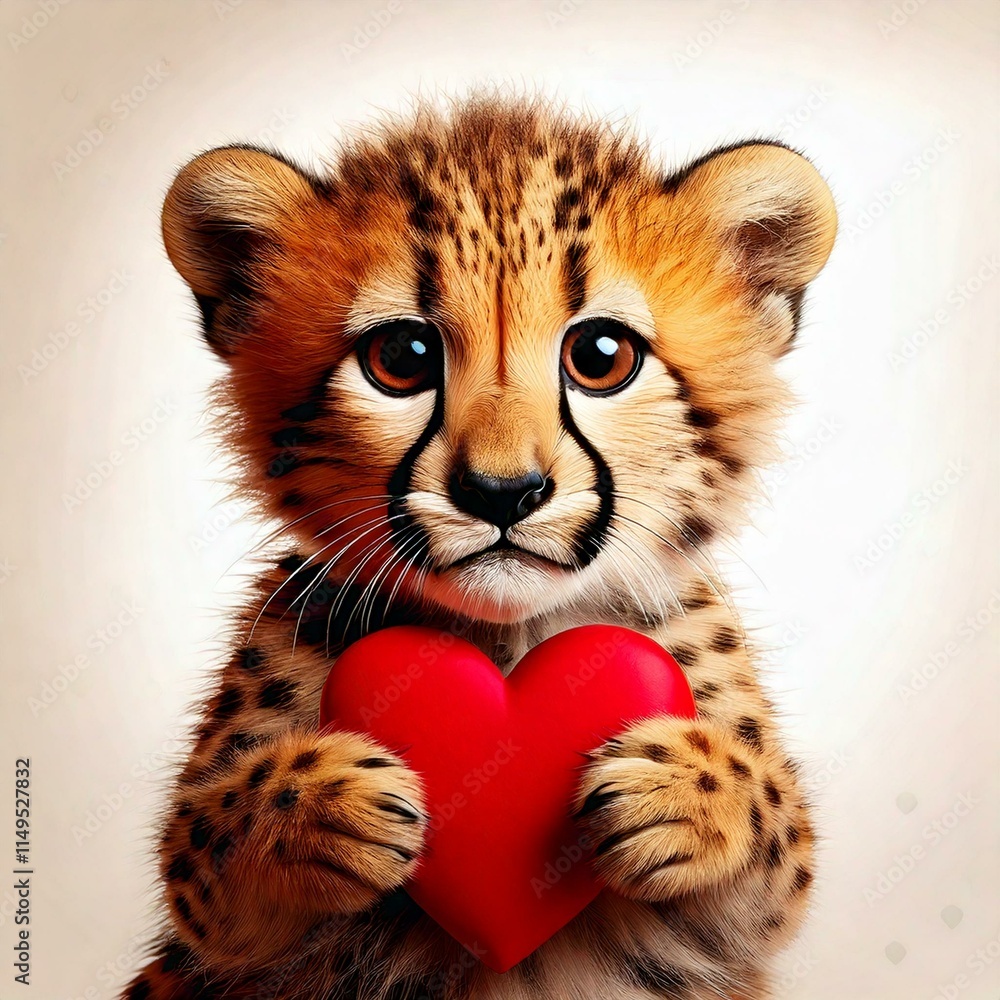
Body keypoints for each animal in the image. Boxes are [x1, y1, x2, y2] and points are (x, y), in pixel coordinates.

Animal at [122, 95, 836, 1000]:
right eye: (402, 357)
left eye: (601, 357)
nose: (503, 491)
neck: (507, 639)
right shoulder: (211, 923)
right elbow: (212, 839)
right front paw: (323, 804)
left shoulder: (751, 919)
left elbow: (775, 836)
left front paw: (685, 791)